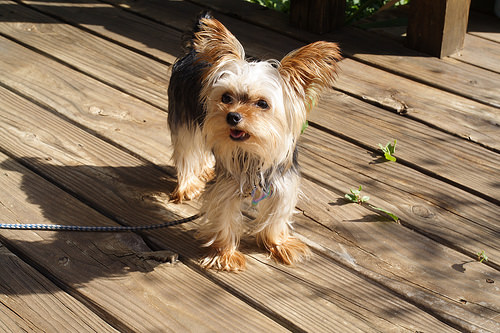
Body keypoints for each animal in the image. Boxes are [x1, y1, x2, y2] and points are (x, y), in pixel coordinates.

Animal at [168, 13, 340, 272]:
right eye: (226, 97)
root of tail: (193, 52)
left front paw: (278, 244)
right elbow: (225, 216)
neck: (252, 151)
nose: (232, 116)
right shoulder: (227, 185)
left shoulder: (282, 182)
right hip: (185, 120)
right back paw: (188, 185)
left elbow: (276, 215)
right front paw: (225, 254)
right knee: (187, 152)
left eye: (262, 104)